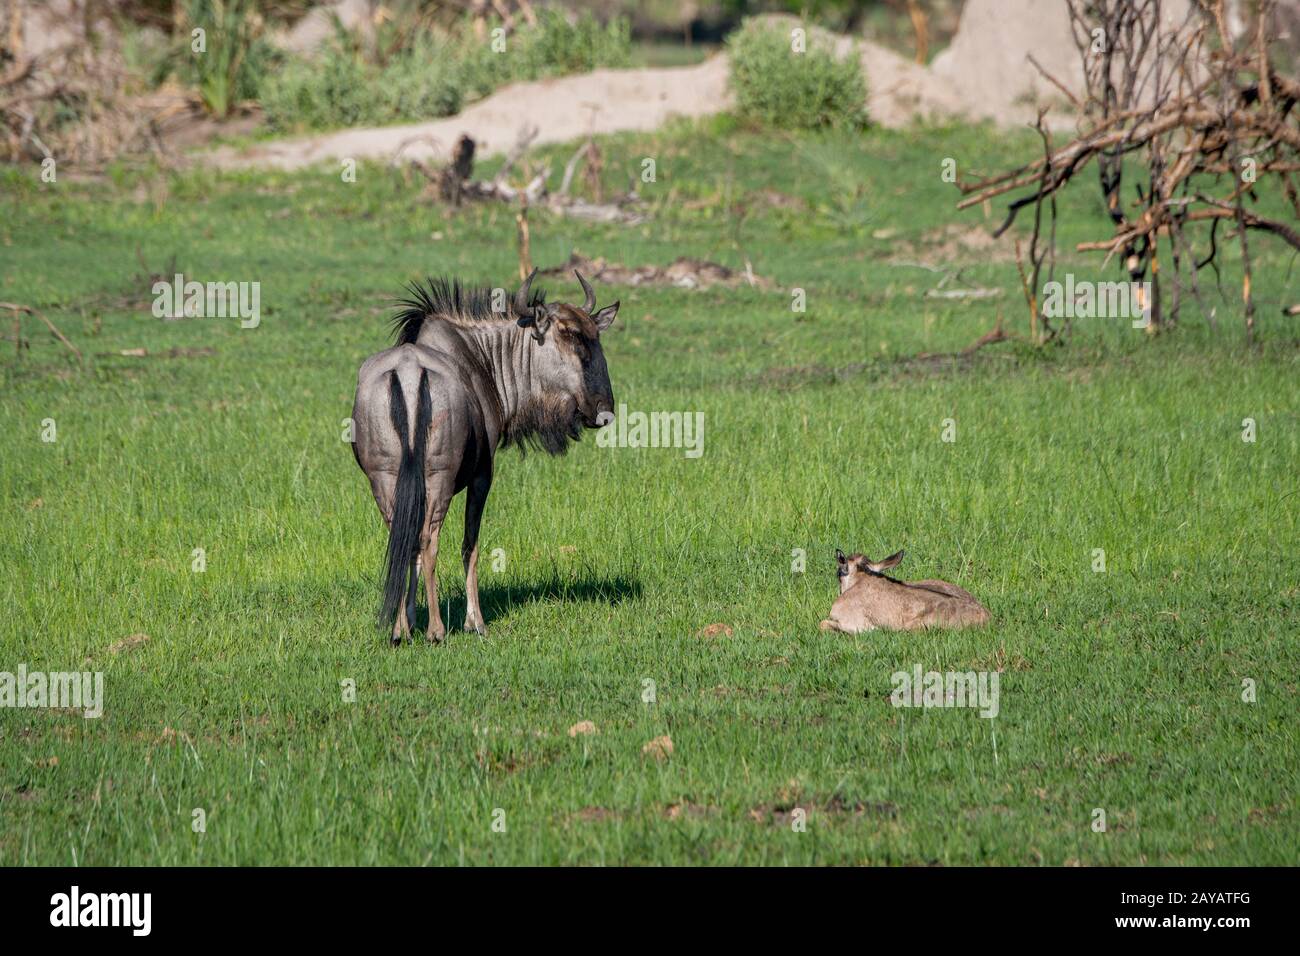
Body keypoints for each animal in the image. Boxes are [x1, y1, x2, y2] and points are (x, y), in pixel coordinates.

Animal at [351, 270, 618, 644]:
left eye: (595, 339)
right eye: (569, 338)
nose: (603, 411)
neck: (482, 359)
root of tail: (408, 372)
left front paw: (410, 618)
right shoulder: (482, 476)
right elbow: (470, 545)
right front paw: (474, 622)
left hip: (384, 477)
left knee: (403, 540)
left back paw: (399, 630)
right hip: (439, 478)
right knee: (429, 541)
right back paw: (437, 630)